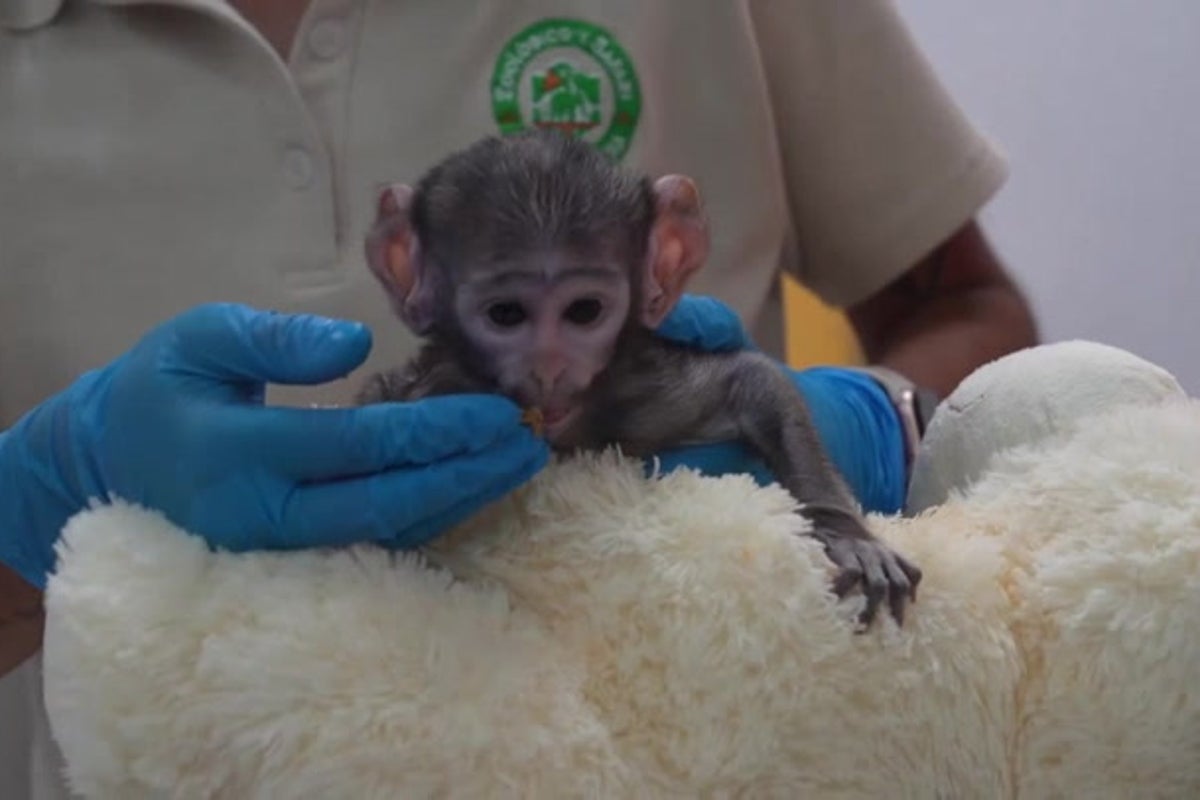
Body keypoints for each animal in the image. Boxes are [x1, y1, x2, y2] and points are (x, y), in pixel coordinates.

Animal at [357, 130, 921, 627]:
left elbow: (756, 380)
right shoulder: (437, 384)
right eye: (506, 314)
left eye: (584, 311)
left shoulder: (642, 385)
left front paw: (847, 536)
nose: (548, 367)